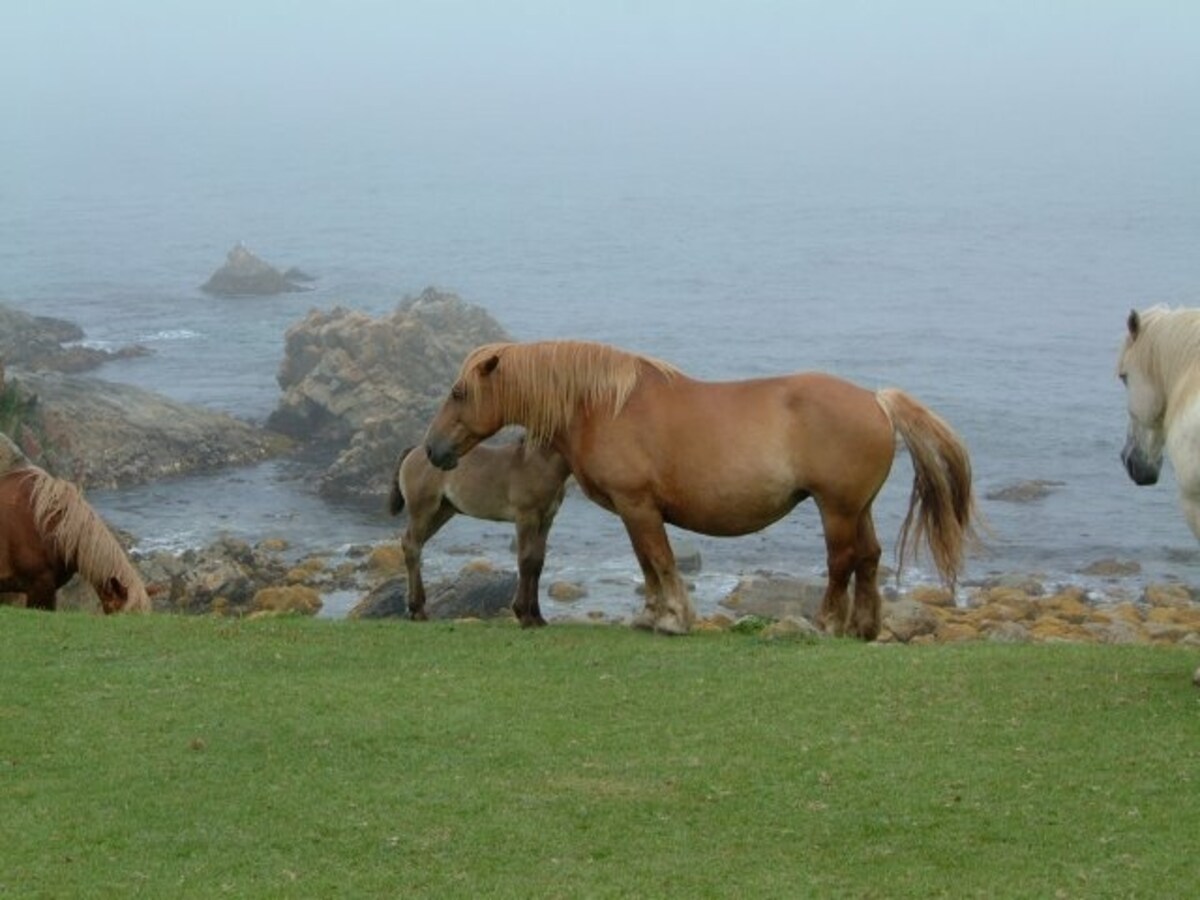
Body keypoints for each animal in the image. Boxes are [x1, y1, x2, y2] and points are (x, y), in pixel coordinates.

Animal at [388, 435, 572, 626]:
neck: (537, 463)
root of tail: (415, 450)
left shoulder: (546, 520)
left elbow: (537, 562)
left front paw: (537, 617)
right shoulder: (526, 517)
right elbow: (526, 560)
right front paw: (524, 615)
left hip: (442, 512)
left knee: (414, 544)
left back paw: (417, 608)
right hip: (423, 510)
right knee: (412, 546)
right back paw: (417, 611)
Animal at [423, 339, 979, 638]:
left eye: (459, 392)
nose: (432, 450)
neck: (604, 405)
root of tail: (875, 400)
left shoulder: (638, 505)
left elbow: (659, 560)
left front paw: (672, 618)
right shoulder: (633, 510)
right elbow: (648, 564)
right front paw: (651, 616)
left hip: (836, 507)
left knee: (842, 560)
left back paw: (825, 623)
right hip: (856, 506)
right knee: (868, 557)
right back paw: (862, 628)